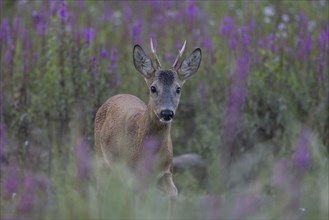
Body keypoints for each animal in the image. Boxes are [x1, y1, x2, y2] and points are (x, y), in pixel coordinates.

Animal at [93, 38, 201, 210]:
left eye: (178, 89)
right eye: (153, 87)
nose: (166, 113)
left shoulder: (166, 171)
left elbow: (173, 194)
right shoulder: (132, 176)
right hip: (101, 158)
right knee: (101, 194)